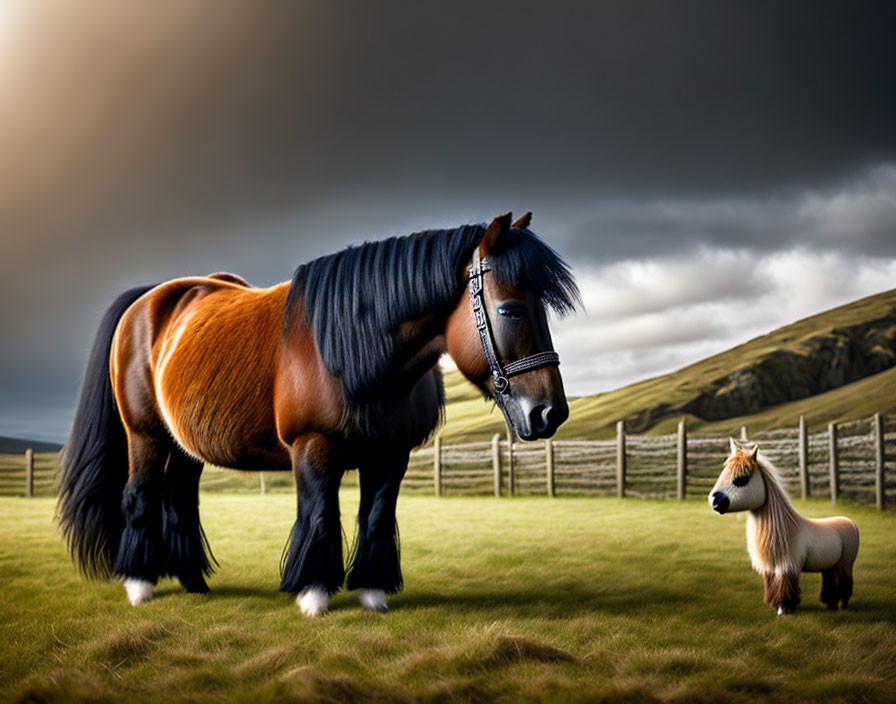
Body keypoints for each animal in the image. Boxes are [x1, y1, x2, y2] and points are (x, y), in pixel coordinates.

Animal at [56, 212, 576, 612]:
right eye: (509, 310)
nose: (550, 413)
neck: (353, 350)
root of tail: (151, 298)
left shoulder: (391, 456)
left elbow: (375, 519)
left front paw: (372, 594)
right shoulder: (313, 448)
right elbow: (321, 516)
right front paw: (312, 595)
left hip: (185, 447)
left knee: (179, 499)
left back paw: (193, 582)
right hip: (143, 435)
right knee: (140, 497)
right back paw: (139, 585)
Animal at [712, 438, 856, 612]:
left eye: (742, 479)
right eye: (723, 473)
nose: (715, 502)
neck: (786, 528)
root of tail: (850, 521)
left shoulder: (788, 565)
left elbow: (785, 585)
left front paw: (784, 608)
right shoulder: (770, 567)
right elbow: (772, 584)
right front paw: (774, 604)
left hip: (847, 562)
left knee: (846, 582)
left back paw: (843, 605)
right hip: (830, 564)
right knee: (830, 581)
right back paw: (830, 604)